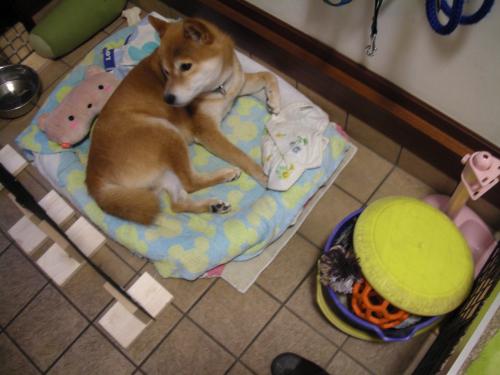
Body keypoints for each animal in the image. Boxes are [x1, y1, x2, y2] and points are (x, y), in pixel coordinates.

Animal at [86, 16, 282, 225]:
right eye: (165, 72)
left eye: (185, 66)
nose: (167, 99)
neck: (219, 87)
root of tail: (95, 180)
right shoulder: (207, 131)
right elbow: (241, 156)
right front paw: (264, 176)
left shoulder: (237, 83)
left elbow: (268, 74)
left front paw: (274, 101)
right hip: (165, 131)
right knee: (190, 182)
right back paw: (226, 174)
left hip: (165, 171)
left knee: (179, 202)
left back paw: (213, 205)